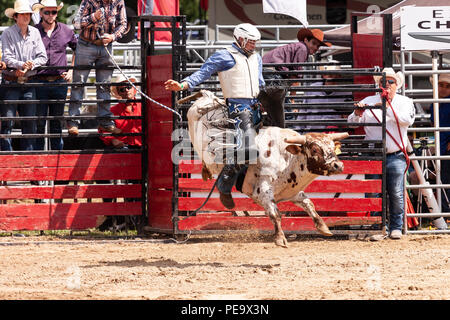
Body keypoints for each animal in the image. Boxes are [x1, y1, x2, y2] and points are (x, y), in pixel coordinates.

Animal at [186, 90, 348, 248]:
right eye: (314, 149)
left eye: (332, 147)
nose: (338, 165)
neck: (286, 158)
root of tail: (207, 98)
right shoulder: (262, 192)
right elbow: (275, 214)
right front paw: (280, 239)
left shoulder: (292, 192)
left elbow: (309, 204)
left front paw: (323, 227)